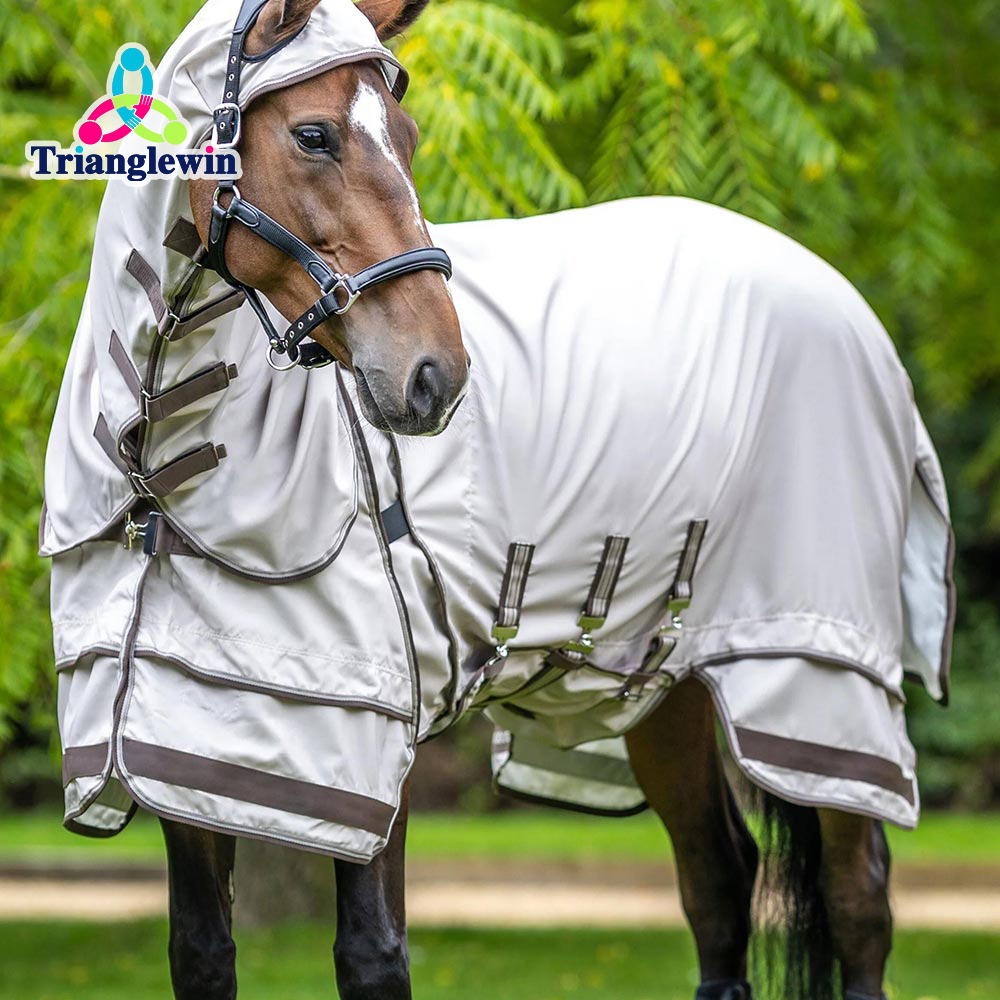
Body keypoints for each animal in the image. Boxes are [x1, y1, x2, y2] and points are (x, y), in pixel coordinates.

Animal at [43, 1, 955, 999]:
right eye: (314, 135)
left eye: (408, 137)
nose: (435, 376)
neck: (165, 484)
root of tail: (845, 305)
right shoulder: (191, 747)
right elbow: (202, 954)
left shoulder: (370, 737)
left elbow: (372, 955)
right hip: (663, 689)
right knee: (719, 881)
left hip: (819, 681)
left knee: (859, 900)